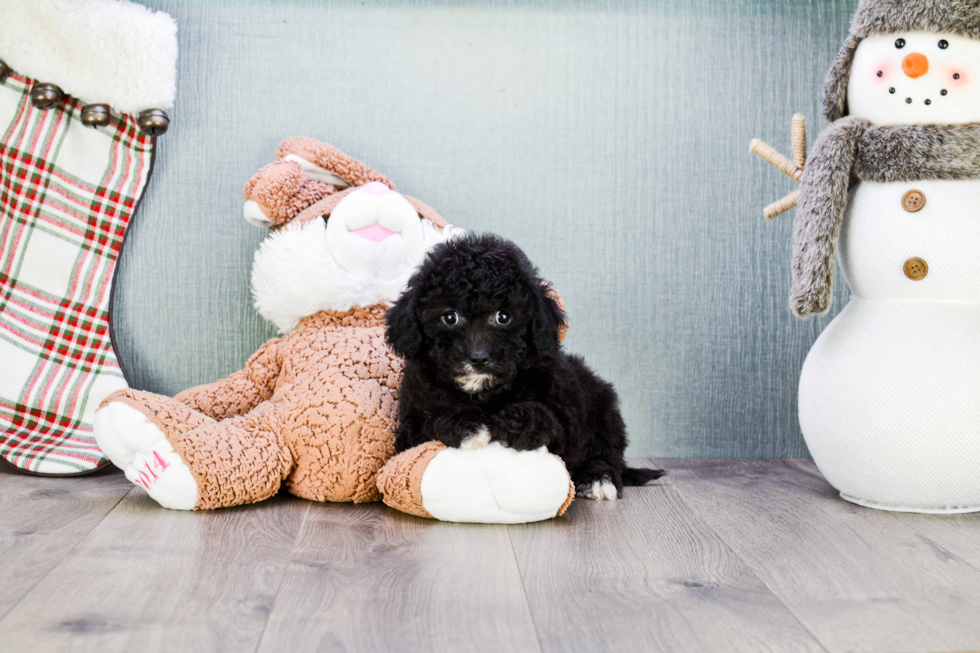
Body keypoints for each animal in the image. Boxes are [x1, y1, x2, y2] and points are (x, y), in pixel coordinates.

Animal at [386, 233, 664, 500]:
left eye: (503, 316)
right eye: (450, 317)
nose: (478, 357)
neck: (485, 392)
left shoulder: (566, 413)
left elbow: (552, 422)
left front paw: (521, 421)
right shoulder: (409, 426)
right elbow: (430, 421)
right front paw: (468, 424)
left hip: (603, 407)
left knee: (607, 453)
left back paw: (599, 479)